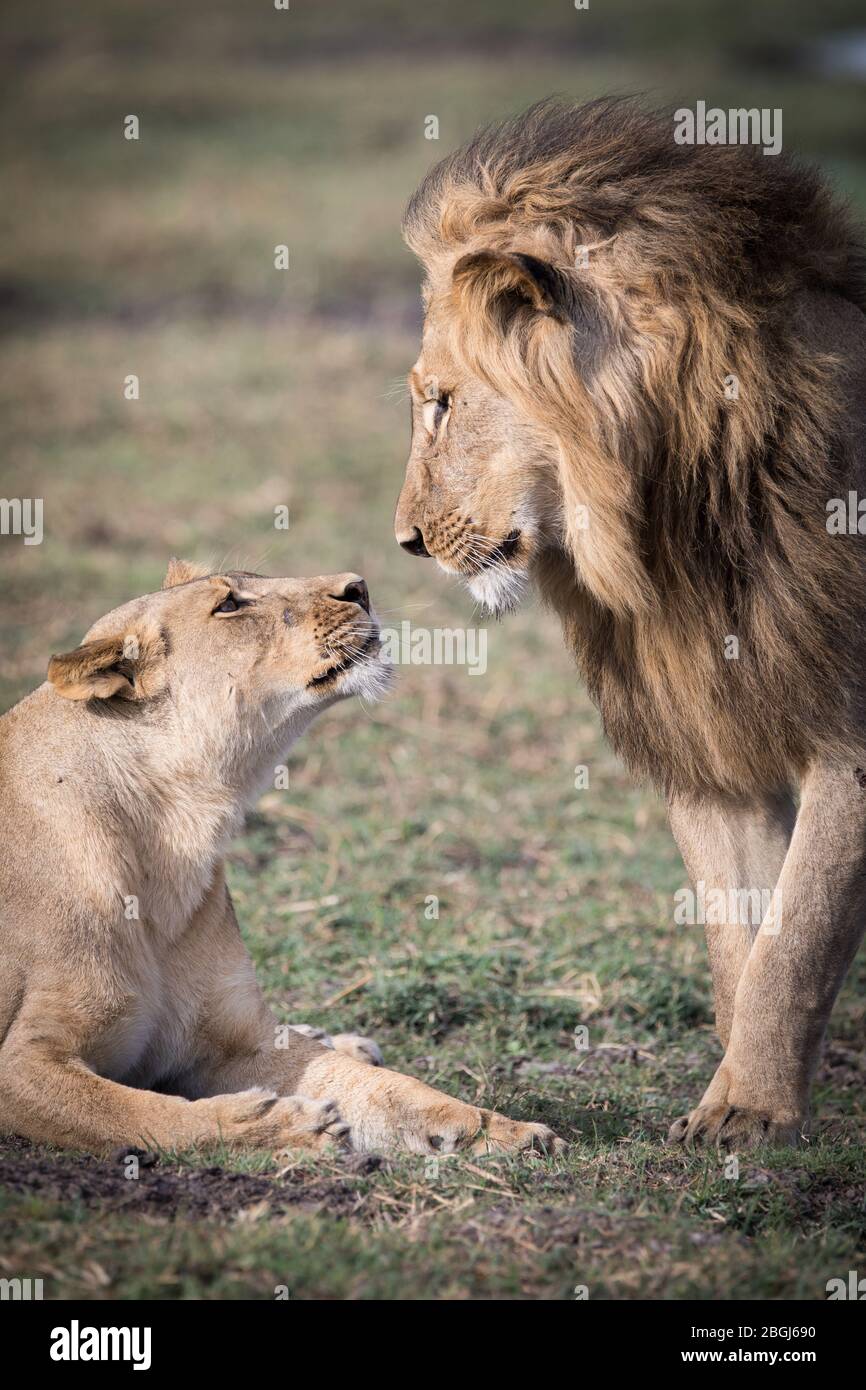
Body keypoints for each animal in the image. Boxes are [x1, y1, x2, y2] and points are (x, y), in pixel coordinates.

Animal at [0, 558, 561, 1156]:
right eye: (229, 605)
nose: (359, 587)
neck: (173, 831)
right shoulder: (21, 1063)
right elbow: (135, 1114)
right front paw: (282, 1126)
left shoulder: (240, 1044)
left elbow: (385, 1089)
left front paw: (498, 1128)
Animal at [397, 92, 866, 1145]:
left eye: (440, 402)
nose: (403, 540)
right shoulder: (705, 734)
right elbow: (744, 938)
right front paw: (737, 1097)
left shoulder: (853, 733)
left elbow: (799, 935)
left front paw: (749, 1112)